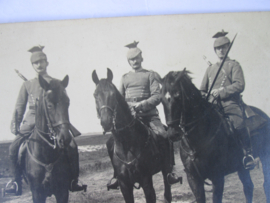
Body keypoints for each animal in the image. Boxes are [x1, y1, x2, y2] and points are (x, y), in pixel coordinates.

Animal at [93, 68, 172, 203]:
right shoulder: (125, 186)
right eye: (95, 95)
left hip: (165, 170)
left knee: (167, 190)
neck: (127, 144)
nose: (106, 122)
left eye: (113, 94)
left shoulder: (146, 182)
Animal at [159, 69, 270, 202]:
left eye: (178, 96)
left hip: (265, 157)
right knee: (248, 187)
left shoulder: (217, 176)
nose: (173, 133)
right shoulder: (193, 179)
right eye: (161, 100)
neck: (196, 141)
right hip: (241, 166)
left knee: (264, 185)